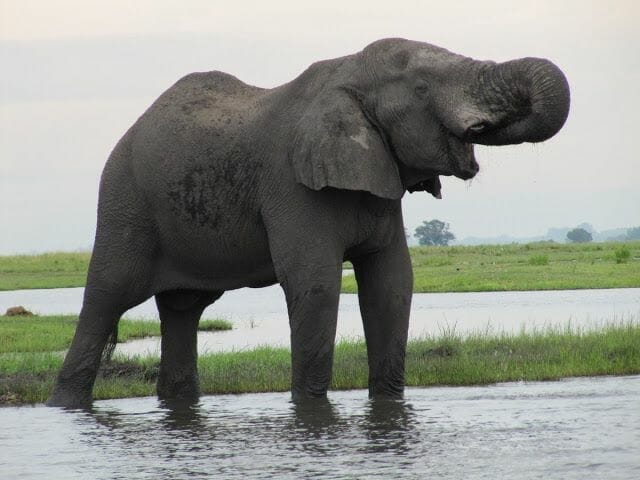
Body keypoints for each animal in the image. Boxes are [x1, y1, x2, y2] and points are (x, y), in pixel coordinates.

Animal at [47, 38, 570, 408]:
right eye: (422, 89)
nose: (480, 128)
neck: (347, 71)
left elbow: (392, 285)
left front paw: (388, 406)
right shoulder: (292, 183)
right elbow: (315, 284)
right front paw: (310, 411)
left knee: (183, 310)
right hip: (125, 201)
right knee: (106, 296)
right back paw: (65, 405)